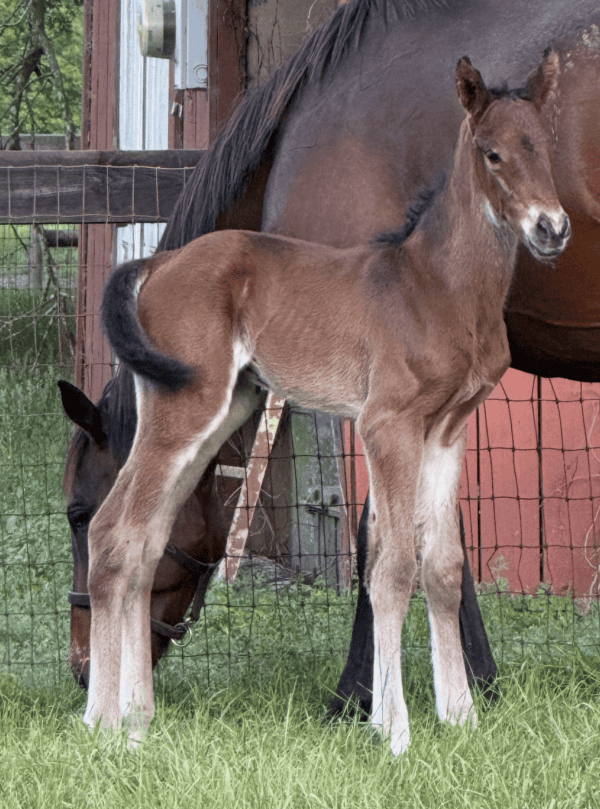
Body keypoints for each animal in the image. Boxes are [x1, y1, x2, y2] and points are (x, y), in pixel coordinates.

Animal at [83, 54, 569, 753]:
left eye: (545, 148)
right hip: (185, 411)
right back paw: (103, 723)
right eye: (493, 152)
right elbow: (392, 566)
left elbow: (444, 567)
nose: (551, 229)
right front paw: (396, 732)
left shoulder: (448, 431)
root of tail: (158, 263)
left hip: (216, 415)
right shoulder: (387, 424)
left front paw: (461, 718)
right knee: (112, 532)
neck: (438, 286)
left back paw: (139, 721)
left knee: (147, 542)